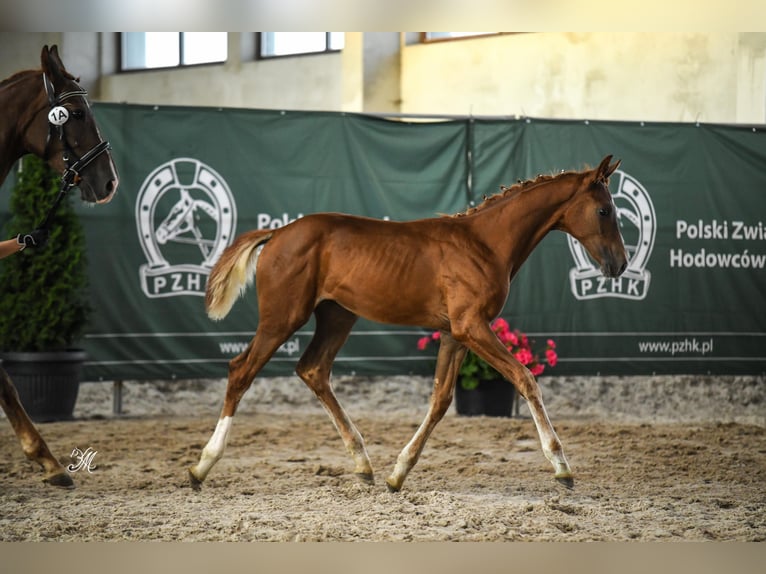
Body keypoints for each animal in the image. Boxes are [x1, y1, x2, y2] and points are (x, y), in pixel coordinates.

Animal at [189, 154, 628, 496]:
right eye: (605, 211)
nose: (620, 264)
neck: (484, 244)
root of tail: (278, 232)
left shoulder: (455, 333)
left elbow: (440, 400)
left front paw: (398, 473)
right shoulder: (471, 326)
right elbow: (525, 378)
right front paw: (562, 467)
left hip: (337, 316)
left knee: (313, 370)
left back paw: (363, 463)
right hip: (282, 317)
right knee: (241, 370)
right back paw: (202, 465)